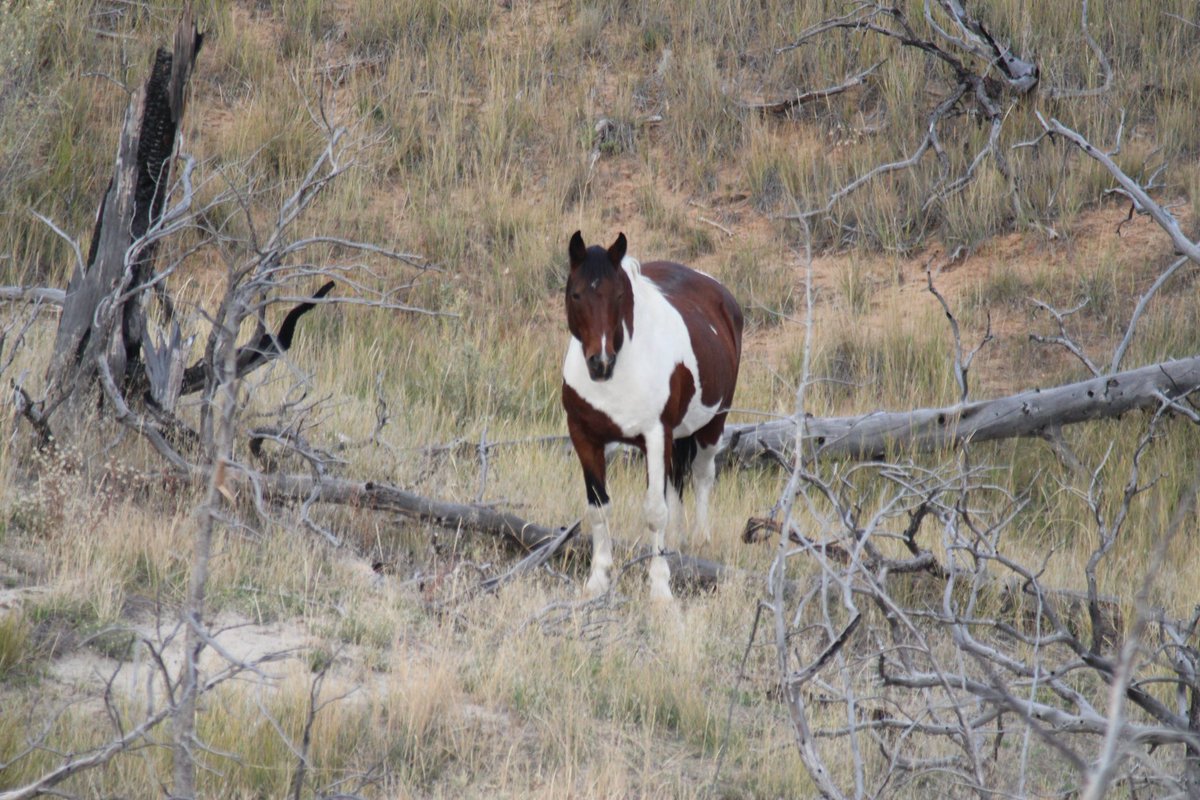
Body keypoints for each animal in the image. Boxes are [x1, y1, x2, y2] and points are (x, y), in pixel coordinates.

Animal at [561, 231, 744, 600]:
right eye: (576, 294)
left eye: (619, 294)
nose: (600, 363)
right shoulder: (585, 437)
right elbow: (599, 509)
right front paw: (598, 580)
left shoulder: (656, 436)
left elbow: (655, 512)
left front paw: (660, 591)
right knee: (676, 483)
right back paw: (677, 542)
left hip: (712, 424)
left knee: (702, 475)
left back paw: (700, 540)